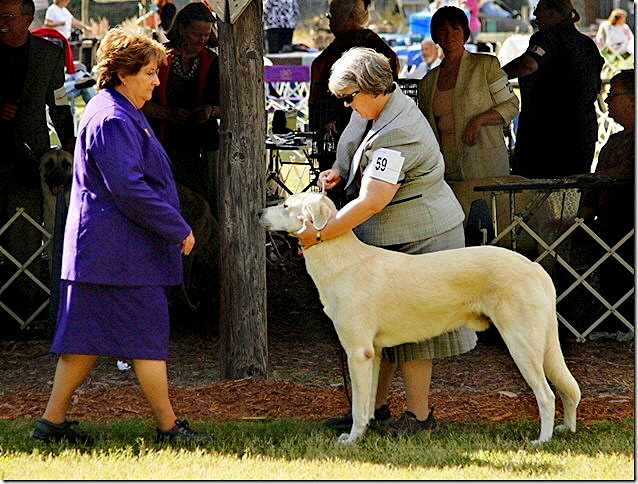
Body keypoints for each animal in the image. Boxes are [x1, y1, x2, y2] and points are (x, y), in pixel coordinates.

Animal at [262, 193, 584, 446]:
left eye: (286, 205)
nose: (258, 212)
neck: (338, 256)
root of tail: (534, 267)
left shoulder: (357, 352)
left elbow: (356, 405)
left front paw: (352, 440)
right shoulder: (372, 352)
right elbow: (366, 403)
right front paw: (366, 431)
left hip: (522, 344)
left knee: (547, 395)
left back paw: (542, 441)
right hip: (543, 346)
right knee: (569, 389)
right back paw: (565, 430)